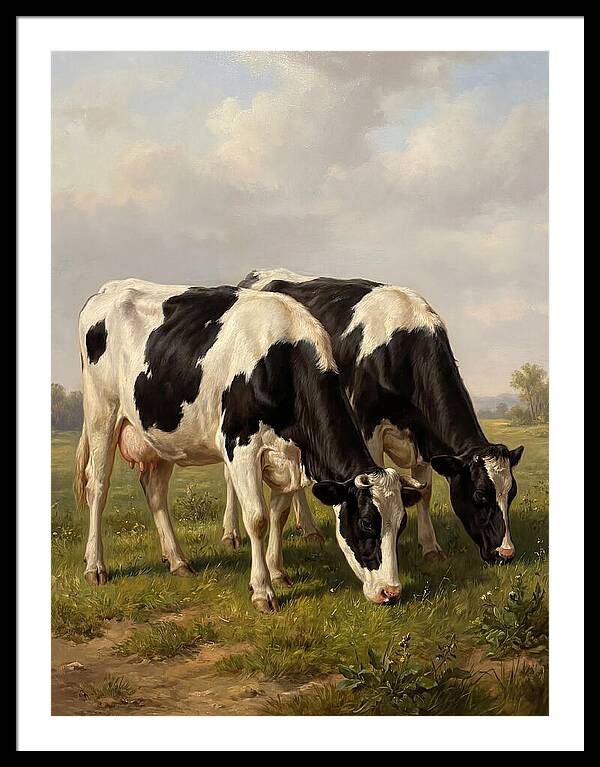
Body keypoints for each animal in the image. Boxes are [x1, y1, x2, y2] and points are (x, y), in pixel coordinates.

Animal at [73, 278, 426, 612]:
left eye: (401, 524)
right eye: (366, 522)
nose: (391, 592)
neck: (282, 361)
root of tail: (111, 289)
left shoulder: (289, 457)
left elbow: (279, 514)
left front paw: (278, 573)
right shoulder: (241, 448)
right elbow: (258, 518)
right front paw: (262, 591)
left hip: (162, 434)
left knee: (154, 489)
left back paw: (178, 561)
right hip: (102, 414)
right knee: (98, 487)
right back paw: (95, 567)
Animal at [223, 269, 524, 565]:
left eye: (512, 493)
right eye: (479, 495)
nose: (506, 553)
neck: (402, 346)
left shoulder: (421, 434)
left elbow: (424, 490)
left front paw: (430, 547)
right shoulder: (370, 429)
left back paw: (308, 529)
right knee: (231, 480)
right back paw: (231, 534)